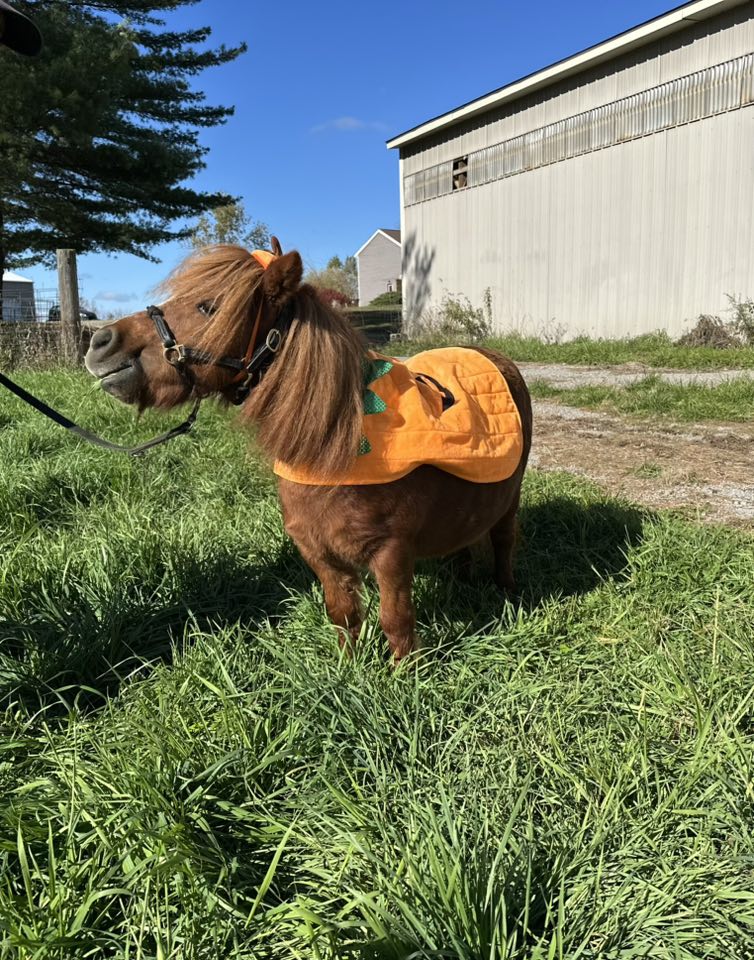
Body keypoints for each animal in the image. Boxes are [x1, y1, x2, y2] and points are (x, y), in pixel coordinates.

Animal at [84, 242, 532, 661]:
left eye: (208, 306)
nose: (102, 342)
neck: (334, 450)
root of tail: (495, 356)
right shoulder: (318, 552)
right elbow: (343, 614)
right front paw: (348, 668)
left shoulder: (392, 554)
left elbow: (396, 622)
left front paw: (405, 674)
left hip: (509, 503)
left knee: (503, 541)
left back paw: (507, 593)